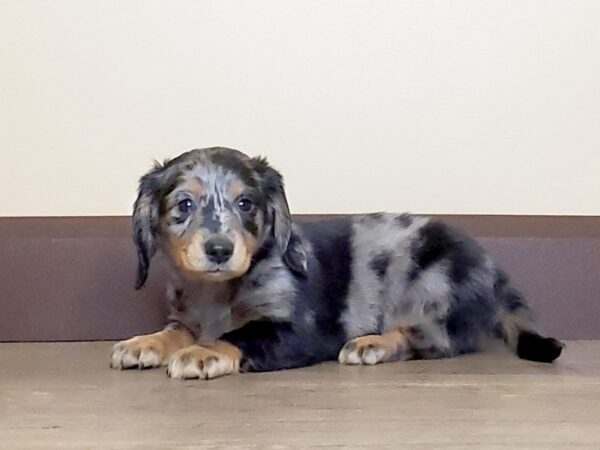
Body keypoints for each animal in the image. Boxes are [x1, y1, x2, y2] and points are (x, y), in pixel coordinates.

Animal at [111, 148, 564, 380]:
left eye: (246, 204)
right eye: (184, 204)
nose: (220, 250)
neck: (217, 292)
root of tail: (491, 270)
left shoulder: (299, 331)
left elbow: (240, 336)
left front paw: (201, 353)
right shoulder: (185, 317)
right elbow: (175, 332)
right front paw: (143, 343)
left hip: (431, 284)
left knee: (427, 341)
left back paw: (372, 344)